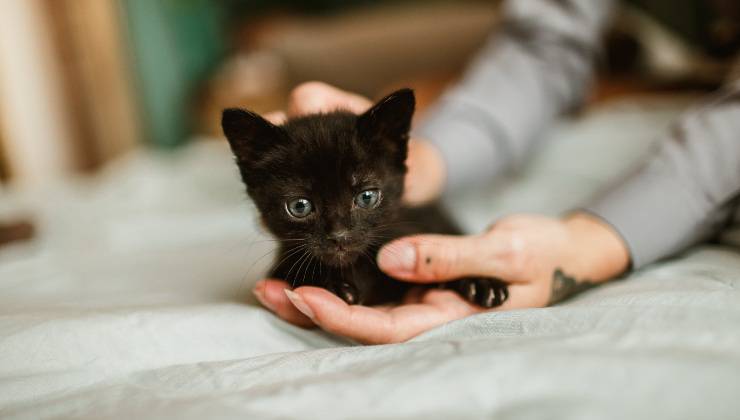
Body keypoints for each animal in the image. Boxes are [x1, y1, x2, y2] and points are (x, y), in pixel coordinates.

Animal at [223, 88, 506, 308]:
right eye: (299, 206)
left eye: (367, 197)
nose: (339, 236)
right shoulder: (280, 264)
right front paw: (331, 284)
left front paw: (479, 281)